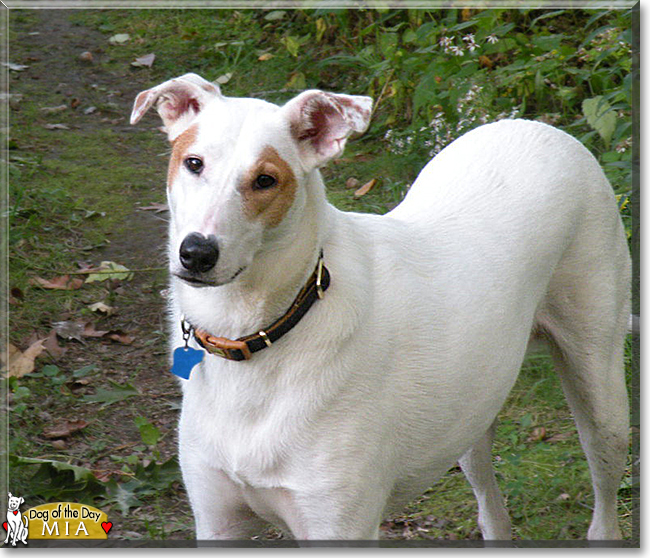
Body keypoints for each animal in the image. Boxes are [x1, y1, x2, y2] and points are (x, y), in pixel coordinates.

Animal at [130, 74, 628, 544]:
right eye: (194, 163)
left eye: (265, 180)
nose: (197, 253)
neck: (263, 331)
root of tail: (540, 127)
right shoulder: (219, 521)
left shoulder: (339, 524)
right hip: (470, 410)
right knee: (492, 509)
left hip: (601, 396)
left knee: (604, 499)